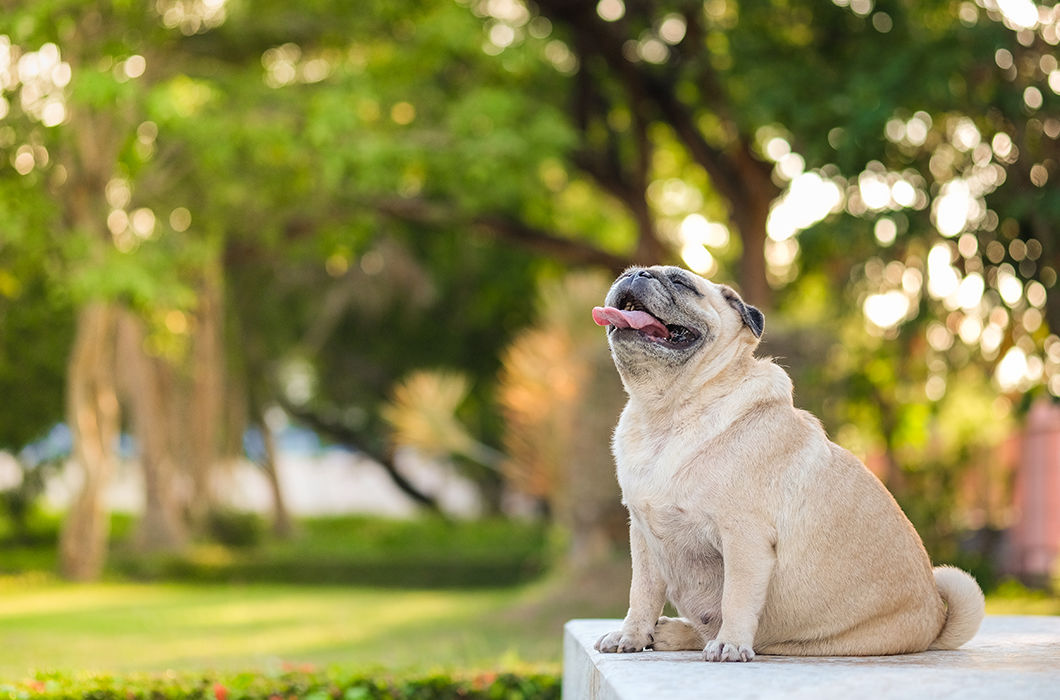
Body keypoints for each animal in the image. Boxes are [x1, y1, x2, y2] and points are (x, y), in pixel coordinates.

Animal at [589, 264, 983, 661]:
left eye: (682, 283)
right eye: (629, 273)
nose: (638, 273)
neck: (666, 413)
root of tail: (935, 623)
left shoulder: (744, 537)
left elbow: (736, 598)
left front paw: (730, 644)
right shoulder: (644, 538)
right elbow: (641, 595)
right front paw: (632, 636)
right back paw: (667, 633)